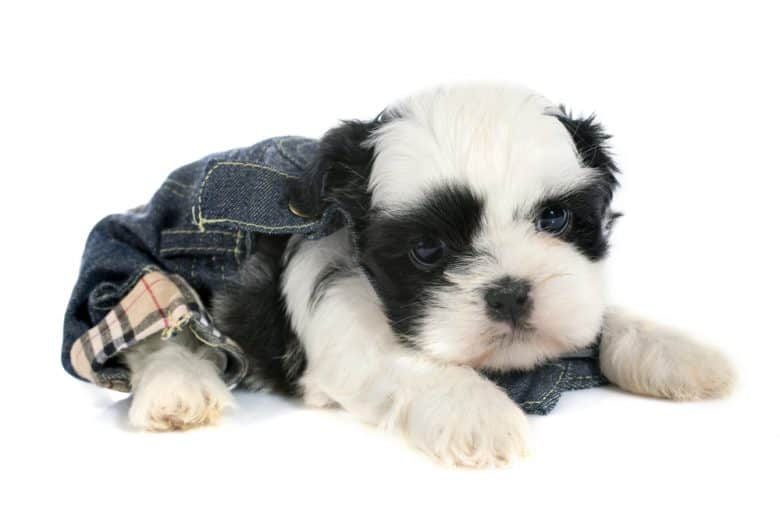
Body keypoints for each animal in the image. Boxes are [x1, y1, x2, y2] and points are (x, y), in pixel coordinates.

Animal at [123, 83, 736, 466]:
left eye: (555, 219)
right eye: (427, 249)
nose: (510, 295)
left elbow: (602, 316)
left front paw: (679, 353)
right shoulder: (339, 316)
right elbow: (401, 357)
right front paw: (478, 410)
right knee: (163, 335)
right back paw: (177, 394)